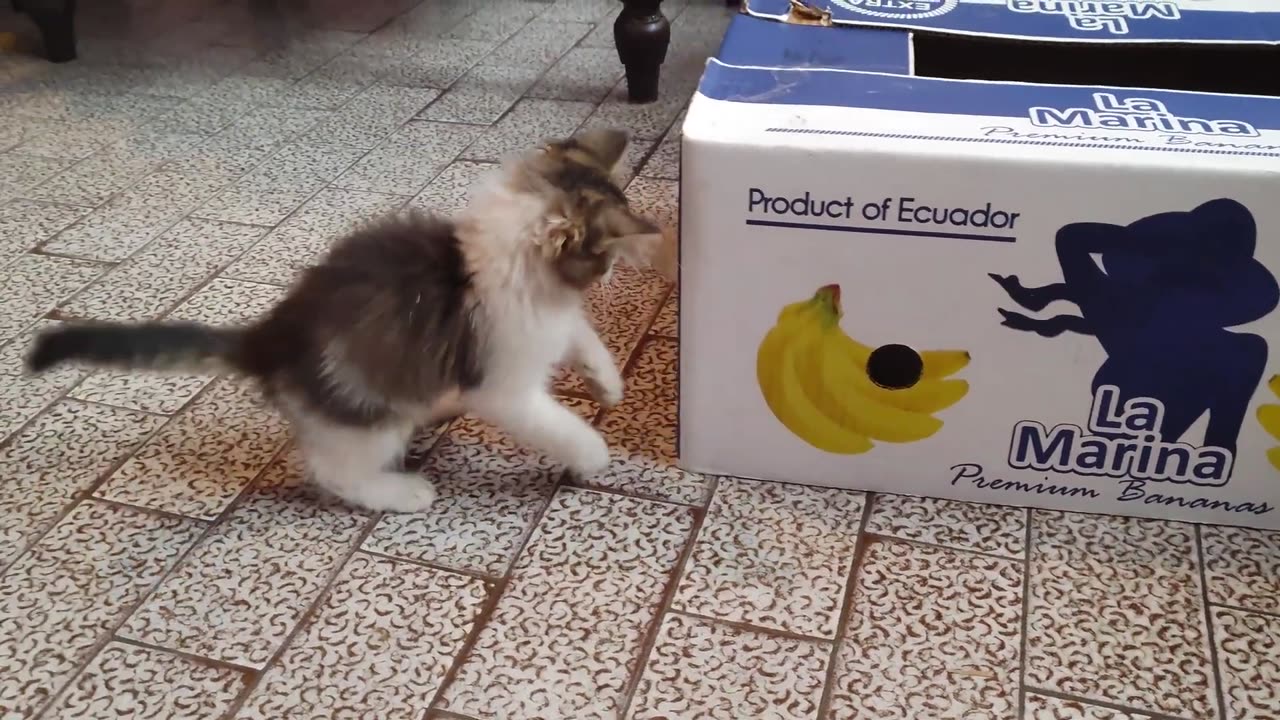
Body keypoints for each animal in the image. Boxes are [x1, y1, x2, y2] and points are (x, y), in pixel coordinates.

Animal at [24, 127, 665, 509]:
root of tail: (269, 338)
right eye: (605, 255)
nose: (615, 270)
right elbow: (557, 424)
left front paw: (607, 382)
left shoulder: (552, 320)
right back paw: (400, 492)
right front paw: (592, 453)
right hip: (370, 416)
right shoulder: (503, 381)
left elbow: (581, 333)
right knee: (334, 471)